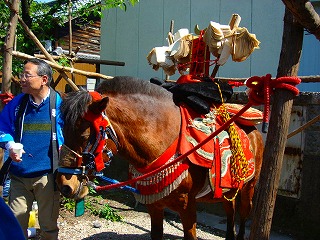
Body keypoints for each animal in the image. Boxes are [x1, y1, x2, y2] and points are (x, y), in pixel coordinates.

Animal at [56, 76, 264, 240]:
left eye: (85, 136)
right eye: (63, 131)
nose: (65, 185)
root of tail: (254, 131)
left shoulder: (187, 206)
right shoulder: (154, 206)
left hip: (249, 187)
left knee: (243, 215)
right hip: (229, 190)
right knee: (230, 212)